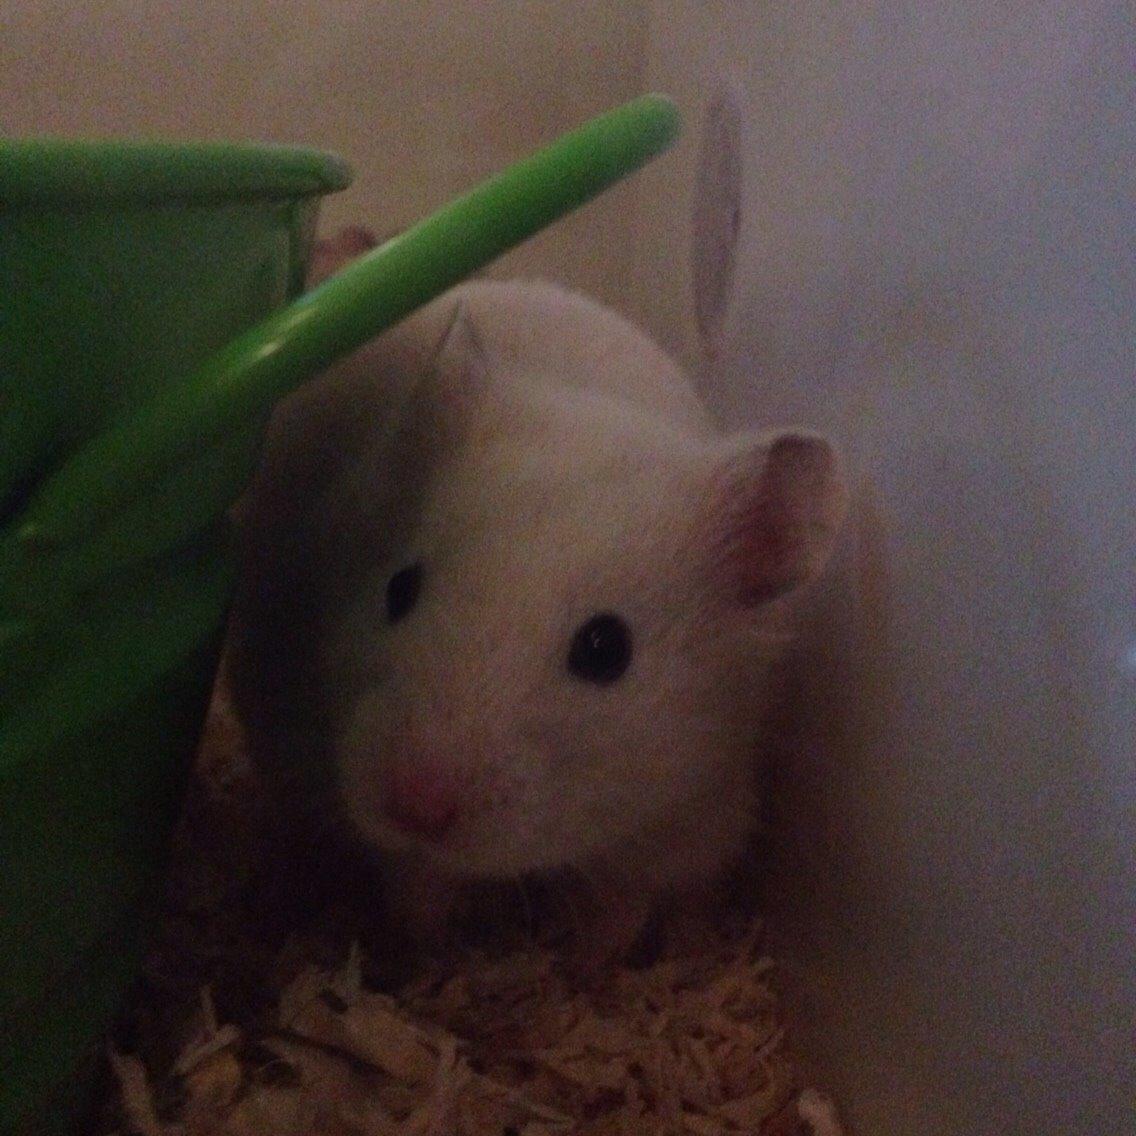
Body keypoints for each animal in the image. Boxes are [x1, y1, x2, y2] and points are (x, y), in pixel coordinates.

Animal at [226, 243, 848, 964]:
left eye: (606, 650)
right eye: (399, 588)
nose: (414, 806)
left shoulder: (681, 823)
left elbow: (619, 910)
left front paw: (589, 968)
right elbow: (417, 888)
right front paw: (427, 953)